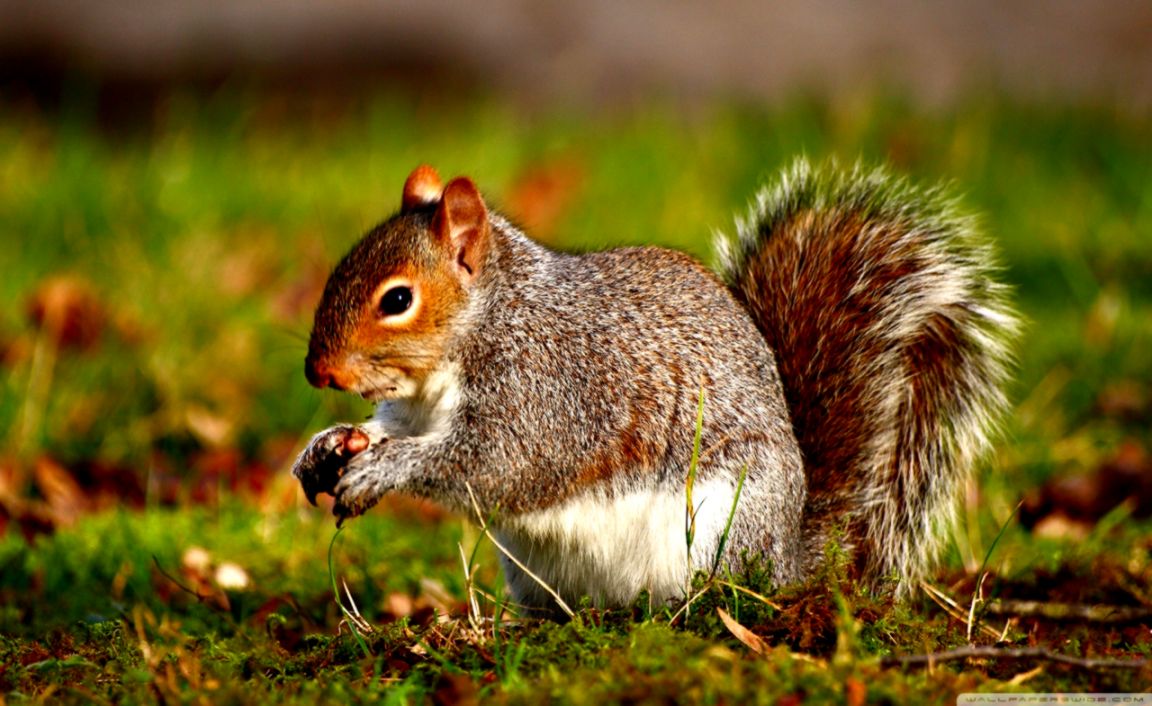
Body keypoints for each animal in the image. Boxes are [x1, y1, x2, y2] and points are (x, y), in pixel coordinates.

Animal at [292, 159, 1018, 613]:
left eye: (397, 299)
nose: (317, 373)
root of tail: (789, 557)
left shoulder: (545, 391)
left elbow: (494, 463)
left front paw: (382, 469)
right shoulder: (416, 408)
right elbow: (389, 430)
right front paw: (328, 445)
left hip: (721, 526)